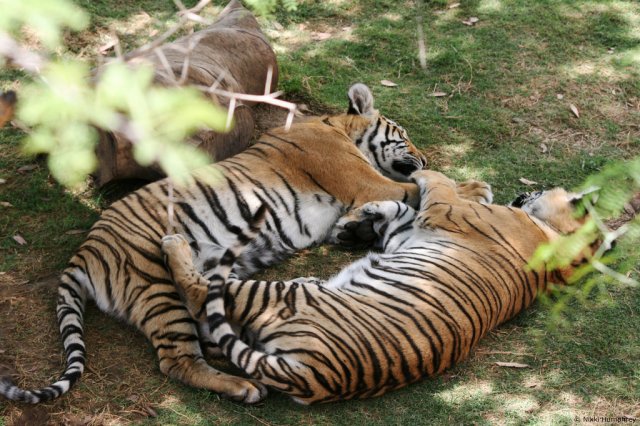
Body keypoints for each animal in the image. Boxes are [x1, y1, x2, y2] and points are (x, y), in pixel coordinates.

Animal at [0, 84, 490, 406]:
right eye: (403, 134)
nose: (422, 157)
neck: (334, 127)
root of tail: (83, 252)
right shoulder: (364, 181)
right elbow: (422, 190)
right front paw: (476, 188)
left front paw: (358, 230)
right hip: (155, 284)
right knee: (177, 359)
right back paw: (244, 387)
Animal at [156, 168, 596, 404]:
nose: (528, 189)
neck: (556, 246)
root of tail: (311, 376)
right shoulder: (407, 234)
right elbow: (399, 207)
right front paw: (361, 218)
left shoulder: (443, 210)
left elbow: (434, 180)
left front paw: (409, 177)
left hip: (279, 296)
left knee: (203, 294)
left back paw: (175, 243)